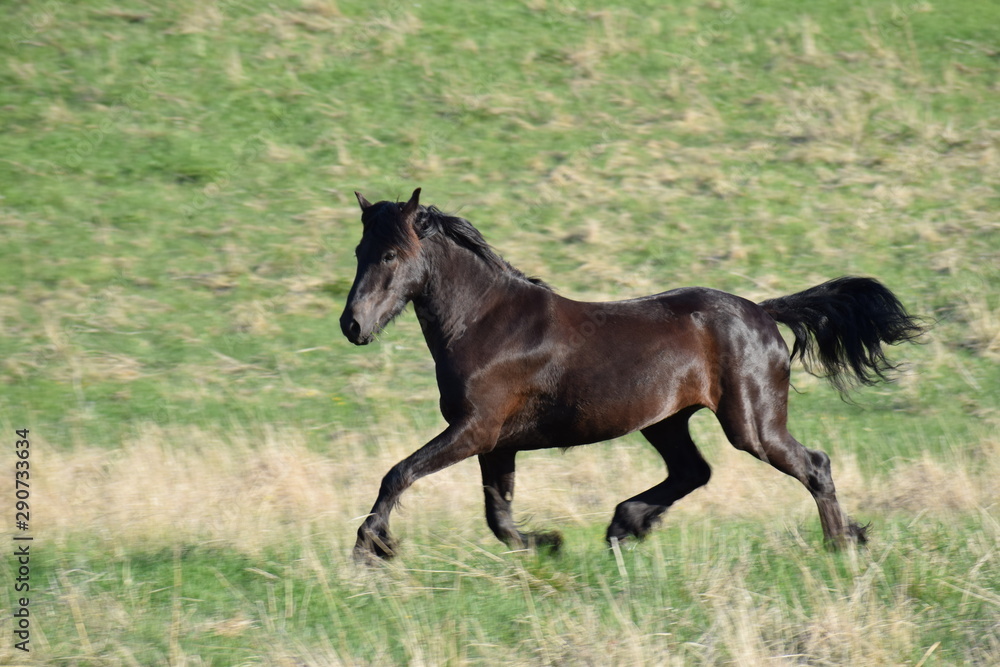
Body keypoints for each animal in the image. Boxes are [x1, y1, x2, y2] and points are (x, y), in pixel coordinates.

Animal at [340, 188, 924, 560]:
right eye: (358, 250)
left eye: (391, 254)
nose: (352, 324)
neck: (486, 323)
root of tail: (761, 312)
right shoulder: (496, 442)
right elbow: (498, 517)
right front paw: (548, 544)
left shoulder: (474, 430)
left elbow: (399, 473)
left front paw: (371, 548)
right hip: (666, 421)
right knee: (694, 471)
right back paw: (626, 525)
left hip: (752, 425)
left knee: (814, 466)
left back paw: (842, 545)